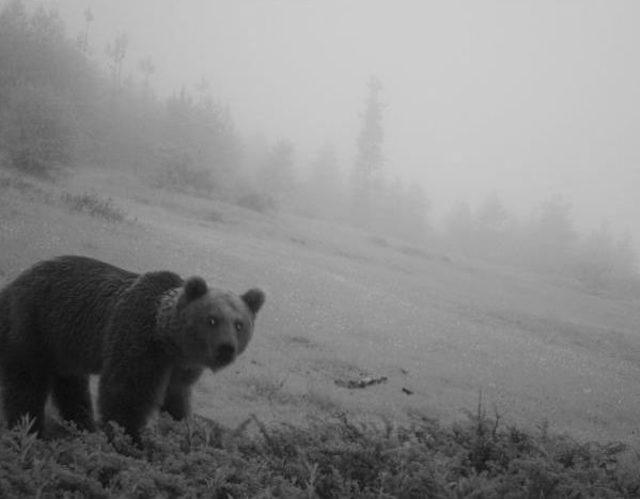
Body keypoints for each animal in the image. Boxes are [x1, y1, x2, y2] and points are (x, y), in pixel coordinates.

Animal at [0, 256, 264, 444]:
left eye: (239, 324)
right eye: (212, 320)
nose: (226, 348)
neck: (168, 340)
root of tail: (11, 284)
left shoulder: (180, 367)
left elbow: (176, 398)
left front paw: (184, 428)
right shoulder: (138, 340)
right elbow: (126, 394)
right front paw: (130, 439)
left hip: (64, 343)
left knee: (71, 385)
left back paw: (82, 425)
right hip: (33, 323)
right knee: (27, 382)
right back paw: (30, 429)